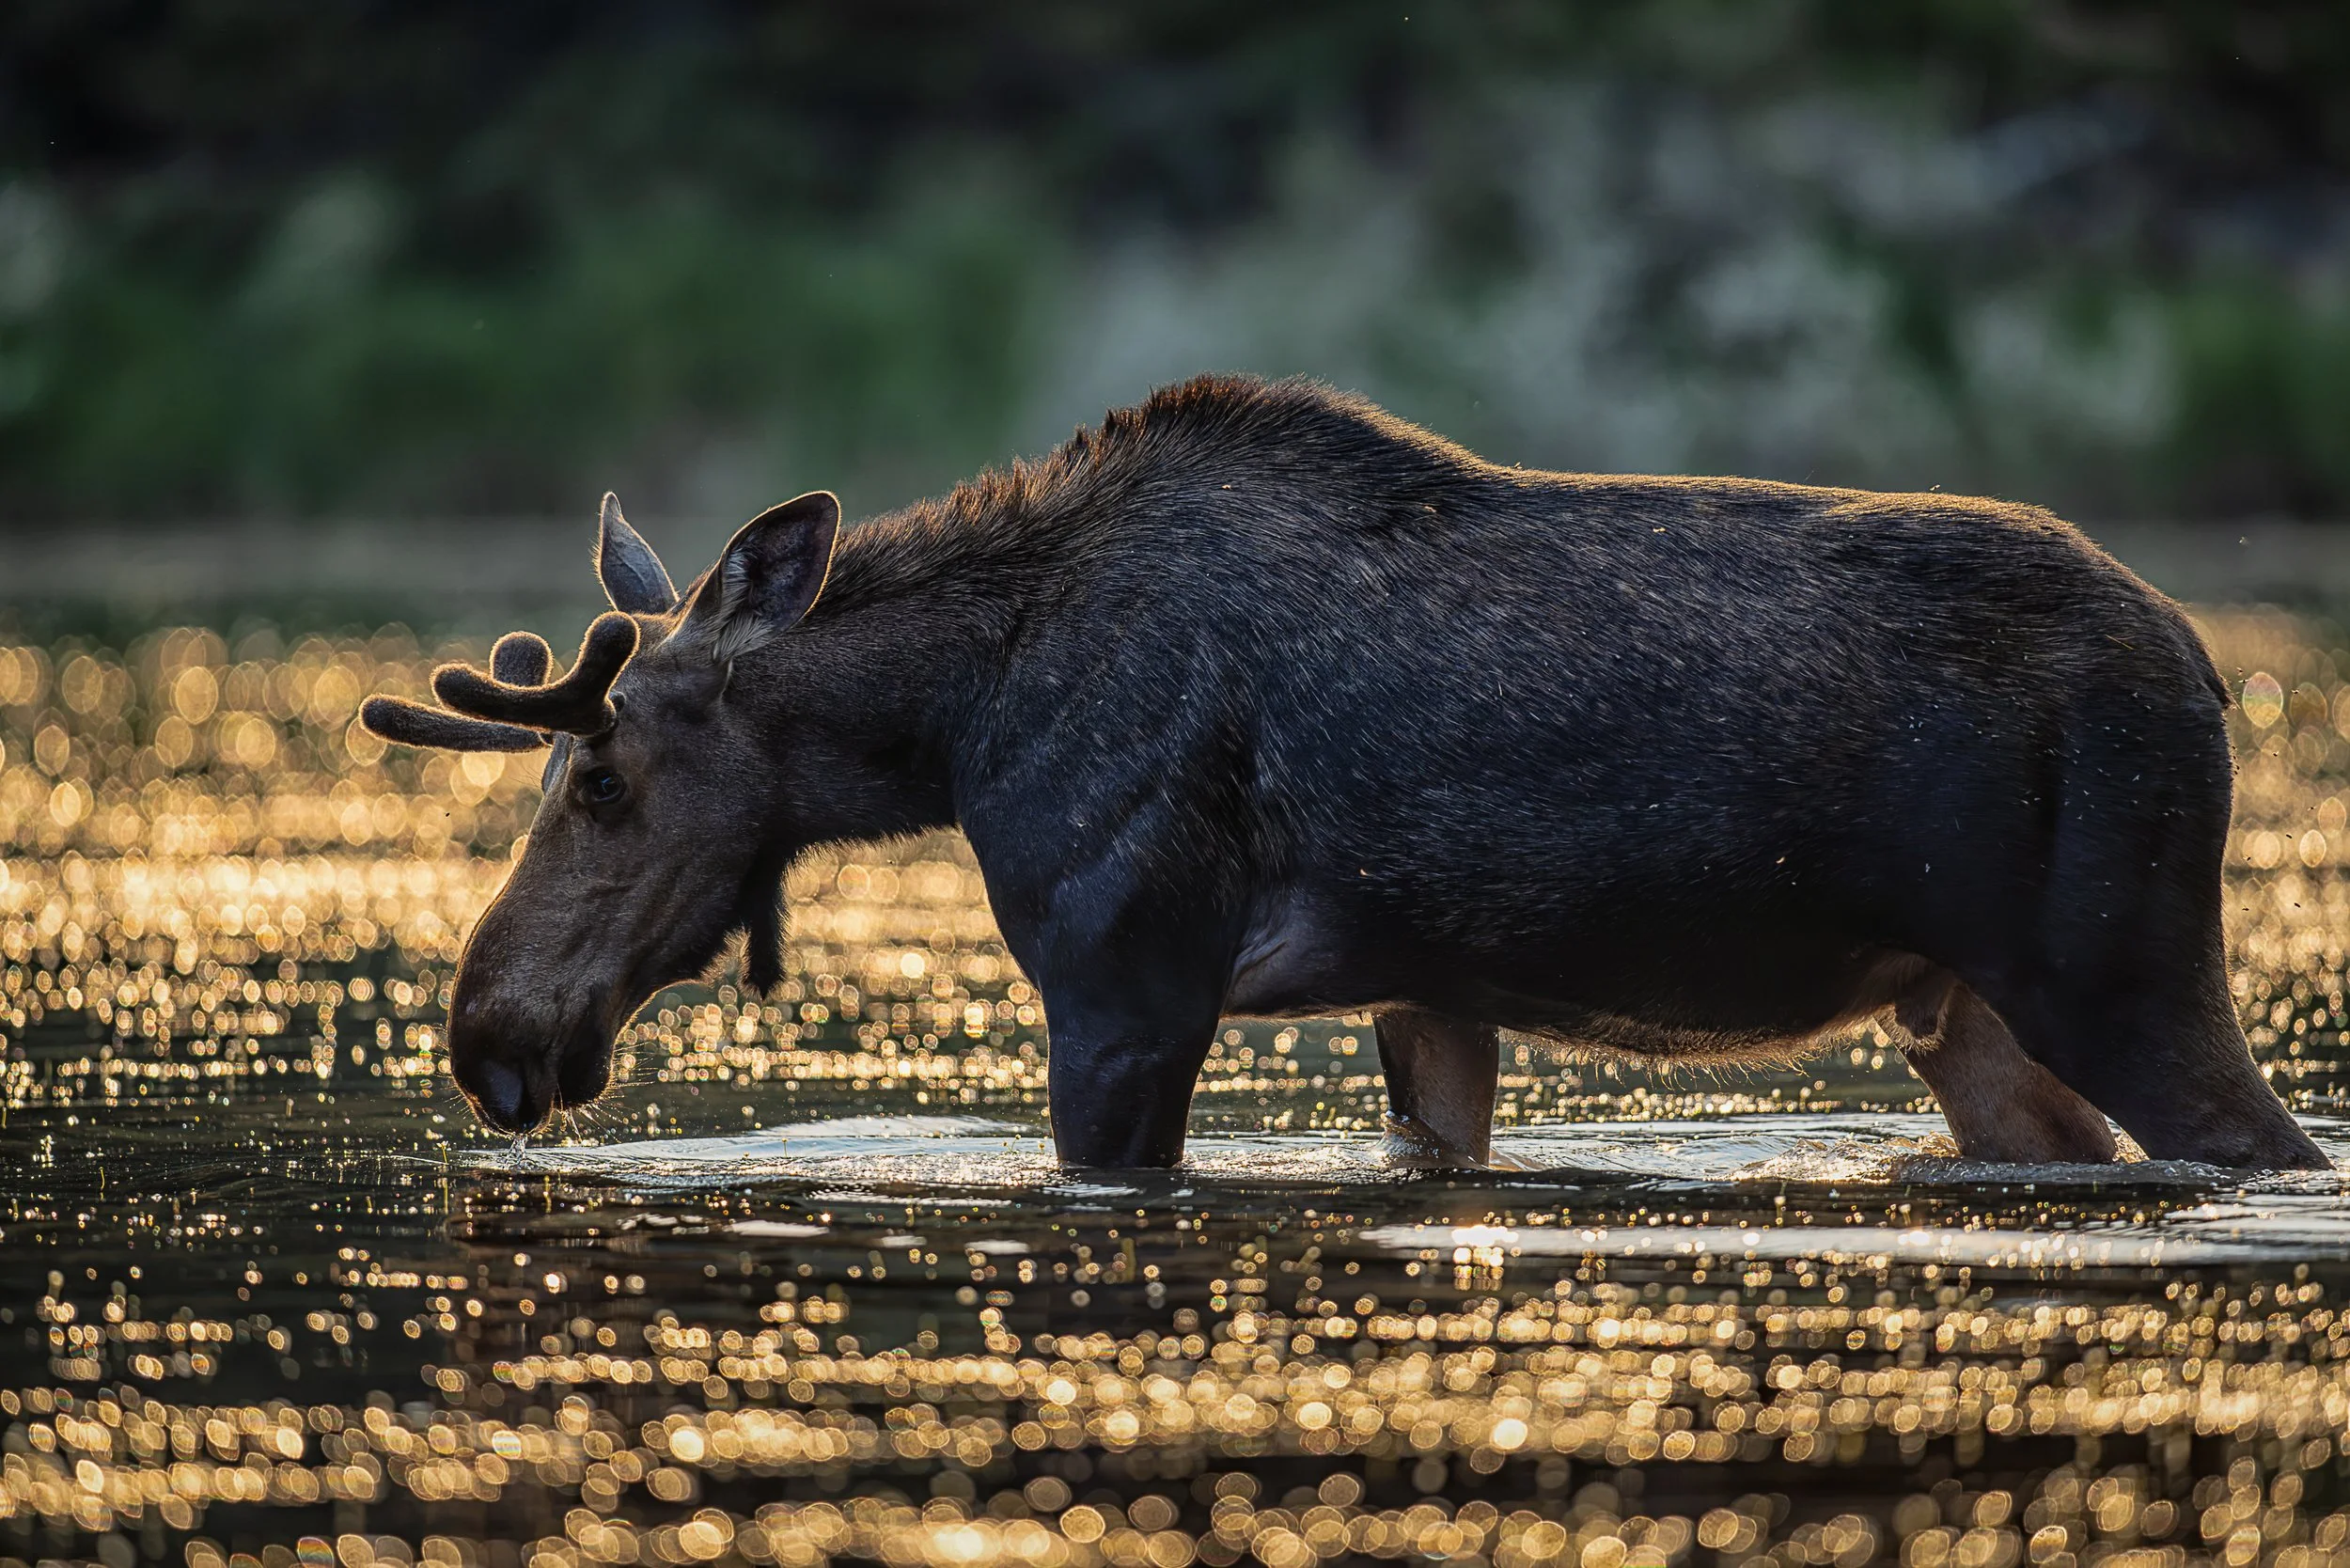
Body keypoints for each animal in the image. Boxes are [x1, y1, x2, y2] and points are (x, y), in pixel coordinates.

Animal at [363, 374, 2328, 1172]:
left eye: (601, 783)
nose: (488, 1029)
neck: (955, 722)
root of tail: (2211, 677)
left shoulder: (1128, 981)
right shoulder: (1424, 989)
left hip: (2120, 966)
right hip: (1967, 1010)